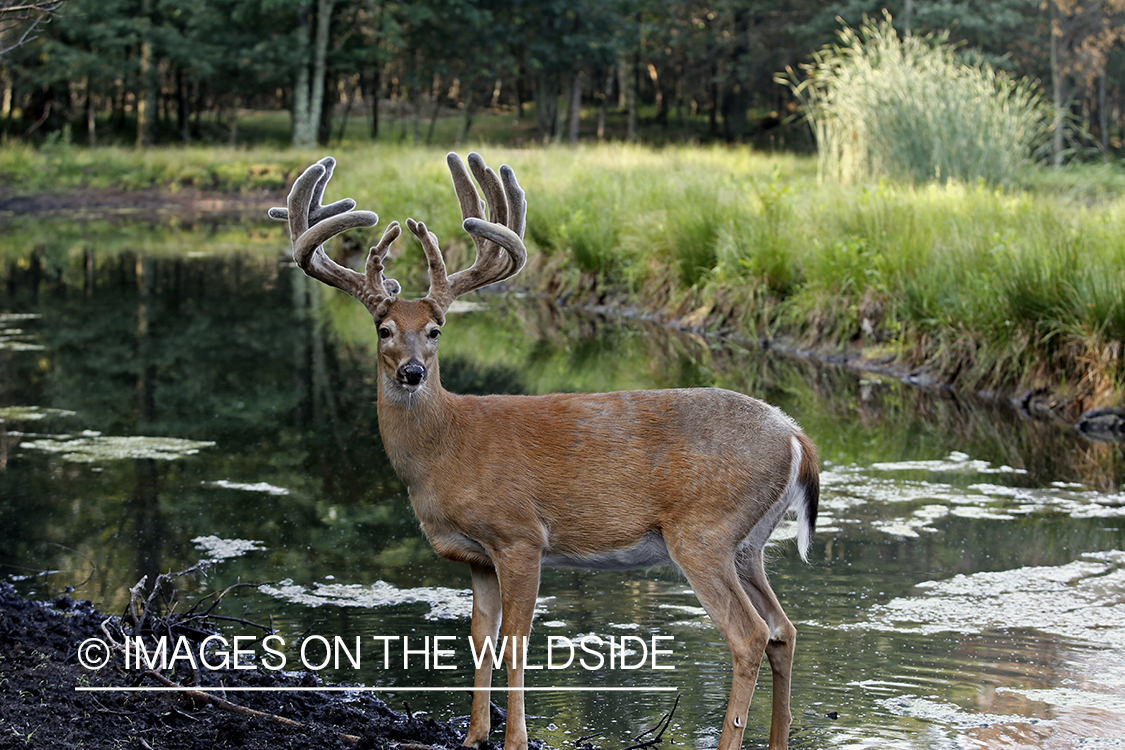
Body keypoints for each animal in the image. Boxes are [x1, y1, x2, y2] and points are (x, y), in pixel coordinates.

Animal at [270, 152, 819, 750]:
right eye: (383, 328)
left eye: (436, 329)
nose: (412, 372)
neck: (446, 448)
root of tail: (796, 436)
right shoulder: (477, 556)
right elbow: (480, 635)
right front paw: (473, 736)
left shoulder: (519, 535)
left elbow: (516, 637)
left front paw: (513, 738)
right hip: (749, 543)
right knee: (784, 629)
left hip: (704, 530)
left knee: (749, 634)